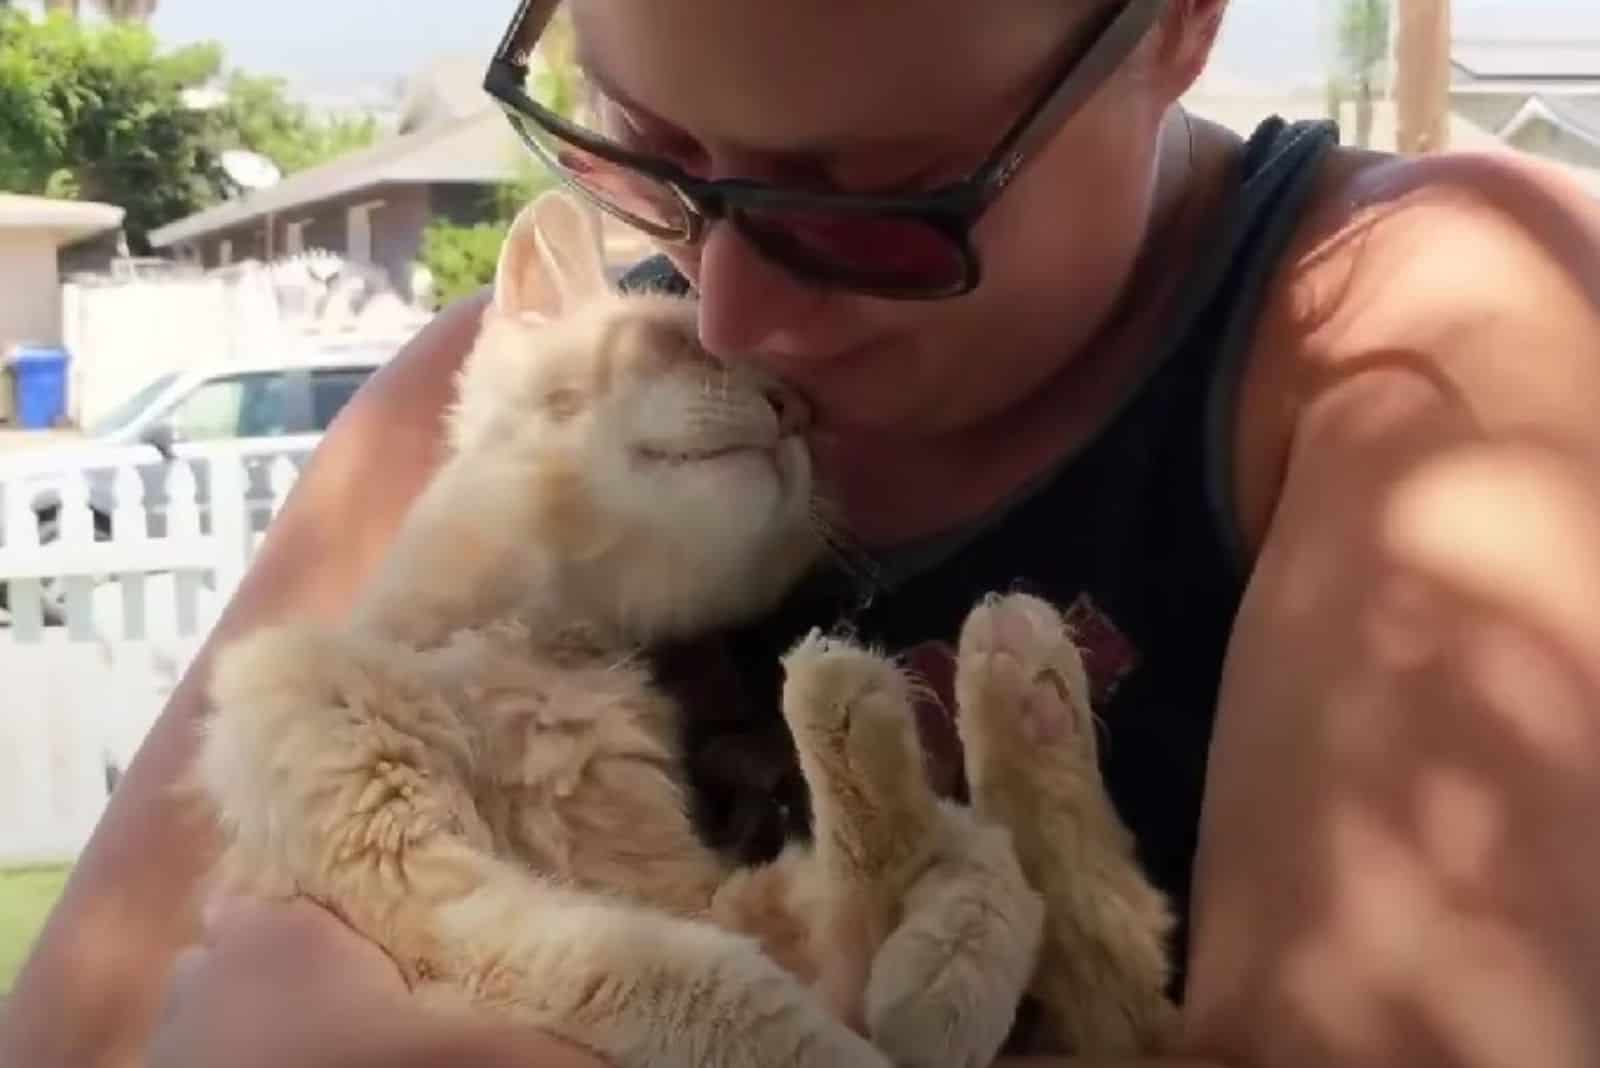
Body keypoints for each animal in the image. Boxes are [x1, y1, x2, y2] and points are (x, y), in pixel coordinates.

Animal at [196, 189, 1177, 1068]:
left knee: (1116, 954)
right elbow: (721, 995)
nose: (791, 409)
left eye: (810, 412)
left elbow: (953, 876)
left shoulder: (703, 895)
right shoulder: (450, 910)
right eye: (685, 344)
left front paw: (951, 954)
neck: (534, 654)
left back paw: (1005, 672)